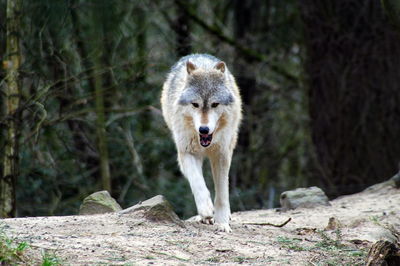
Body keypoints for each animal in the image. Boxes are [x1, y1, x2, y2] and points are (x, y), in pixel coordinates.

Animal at [161, 53, 242, 232]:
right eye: (195, 104)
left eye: (214, 104)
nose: (203, 129)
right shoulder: (186, 153)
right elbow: (198, 182)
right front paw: (206, 209)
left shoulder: (221, 156)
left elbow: (222, 193)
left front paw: (222, 222)